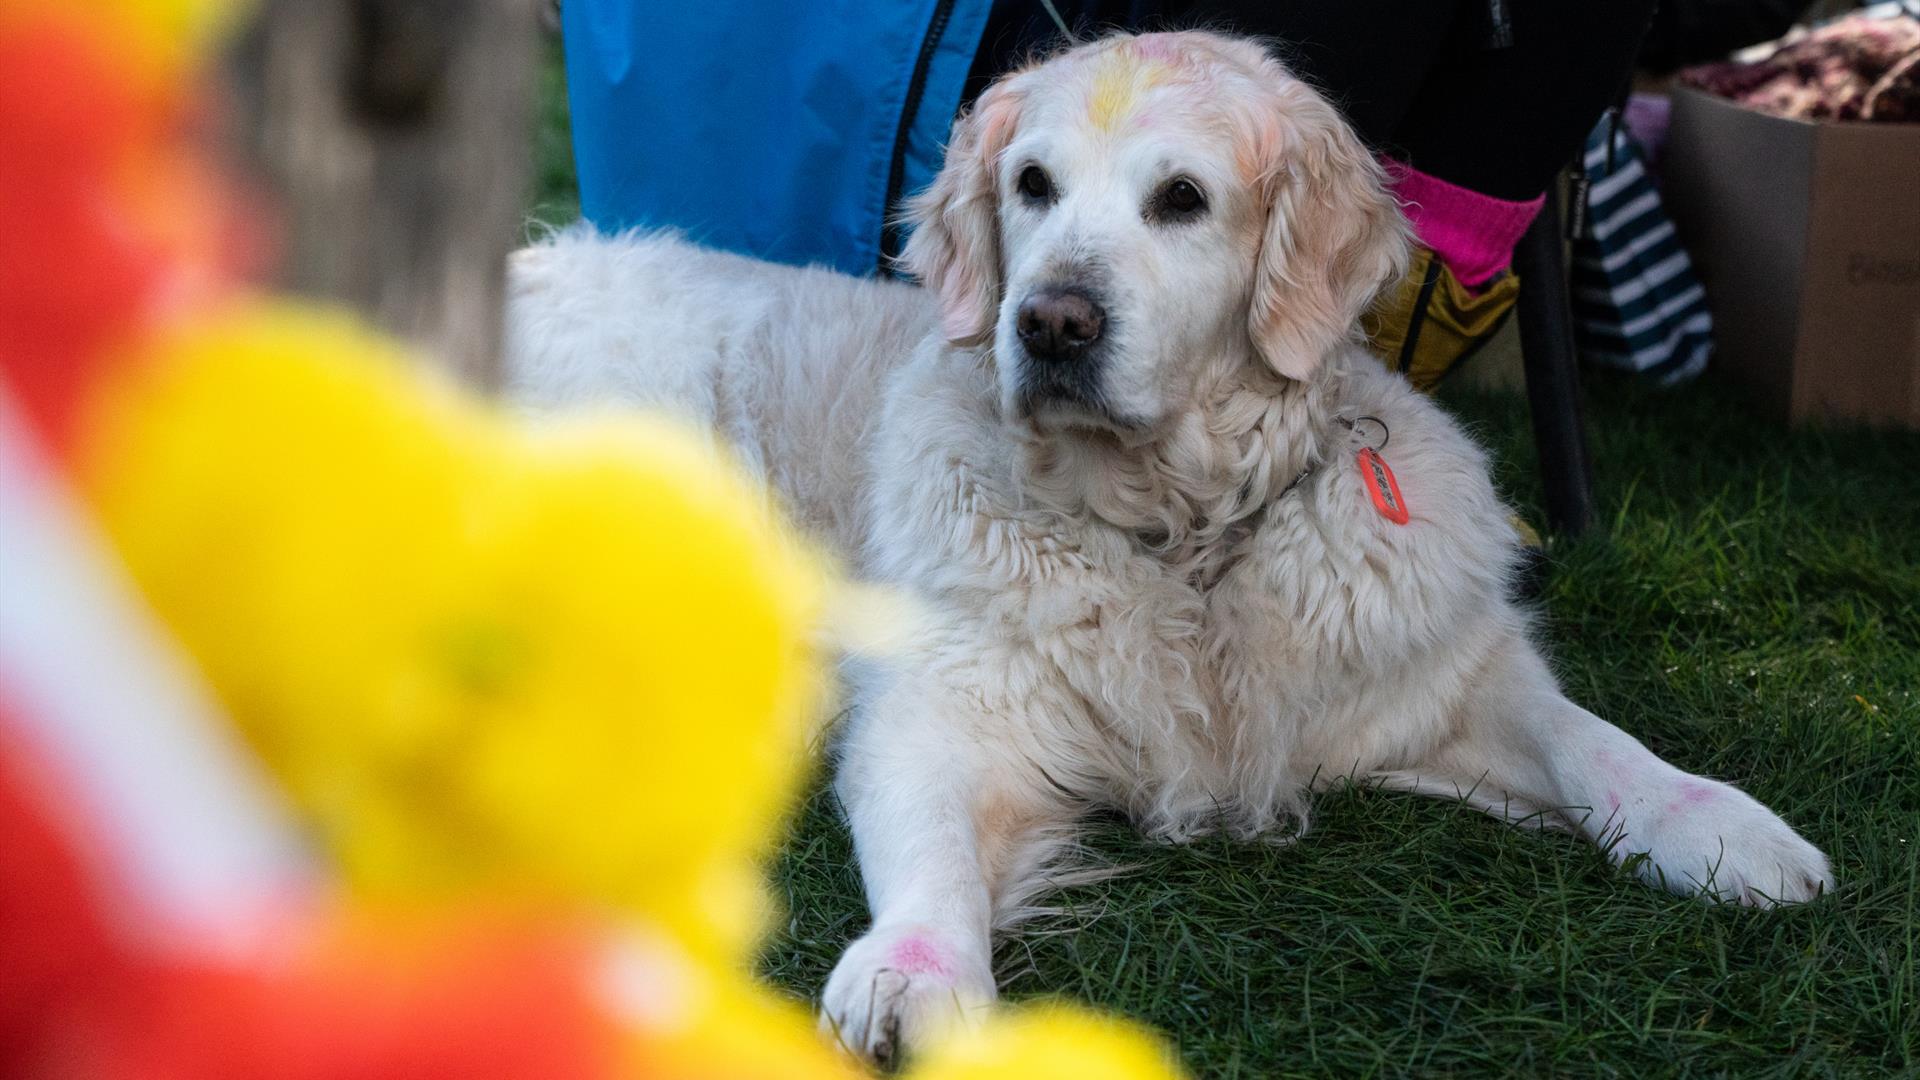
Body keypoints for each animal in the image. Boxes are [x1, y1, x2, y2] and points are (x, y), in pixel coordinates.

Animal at [506, 29, 1827, 1060]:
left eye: (1181, 199)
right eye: (1032, 185)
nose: (1051, 323)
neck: (1180, 538)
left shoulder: (1436, 678)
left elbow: (1596, 741)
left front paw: (1725, 829)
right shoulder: (945, 707)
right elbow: (925, 843)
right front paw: (912, 970)